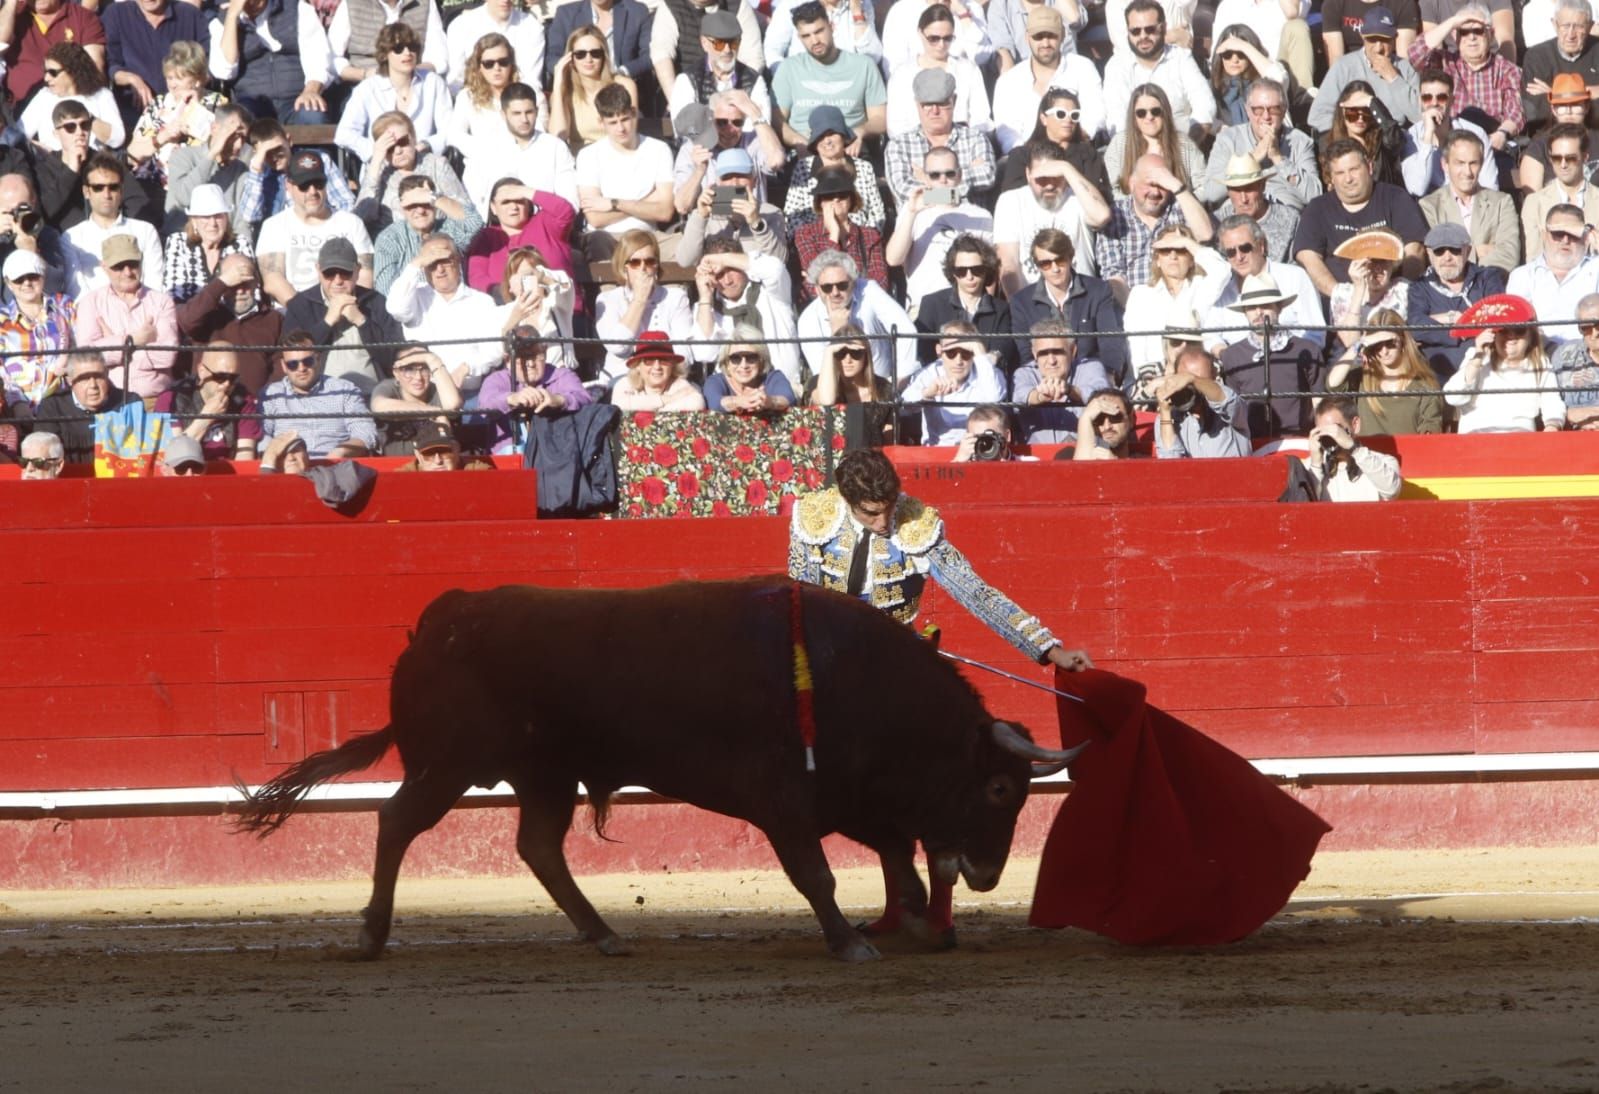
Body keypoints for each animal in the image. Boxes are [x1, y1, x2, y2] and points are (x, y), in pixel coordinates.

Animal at [233, 575, 1087, 959]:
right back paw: (371, 934)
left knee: (537, 846)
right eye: (1000, 788)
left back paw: (603, 933)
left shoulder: (850, 795)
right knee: (395, 822)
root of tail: (440, 621)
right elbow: (818, 873)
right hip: (447, 766)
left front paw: (908, 920)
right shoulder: (784, 800)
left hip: (544, 776)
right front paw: (850, 940)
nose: (987, 875)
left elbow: (896, 860)